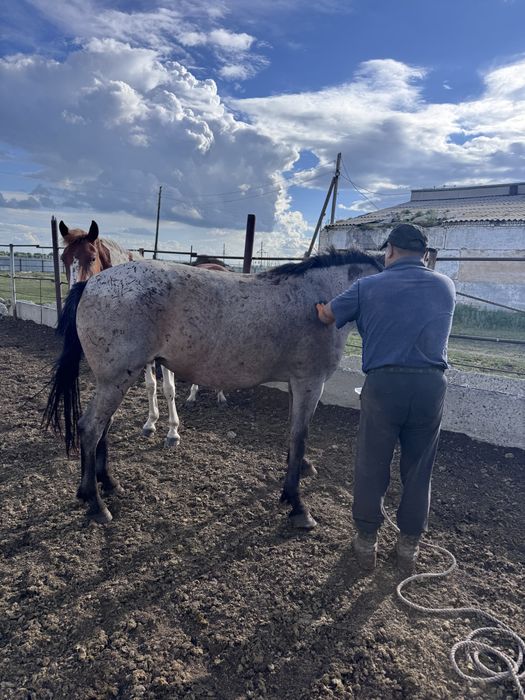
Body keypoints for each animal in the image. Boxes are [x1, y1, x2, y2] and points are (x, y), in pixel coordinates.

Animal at [44, 248, 383, 528]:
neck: (320, 298)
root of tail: (92, 283)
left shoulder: (297, 384)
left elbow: (293, 434)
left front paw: (301, 471)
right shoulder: (309, 382)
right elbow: (300, 437)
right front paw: (297, 505)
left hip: (114, 381)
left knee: (103, 426)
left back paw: (107, 484)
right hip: (116, 379)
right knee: (90, 428)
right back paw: (95, 502)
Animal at [59, 221, 226, 447]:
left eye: (92, 257)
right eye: (63, 258)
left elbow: (168, 388)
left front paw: (173, 432)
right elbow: (150, 385)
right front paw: (150, 423)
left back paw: (220, 395)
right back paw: (192, 397)